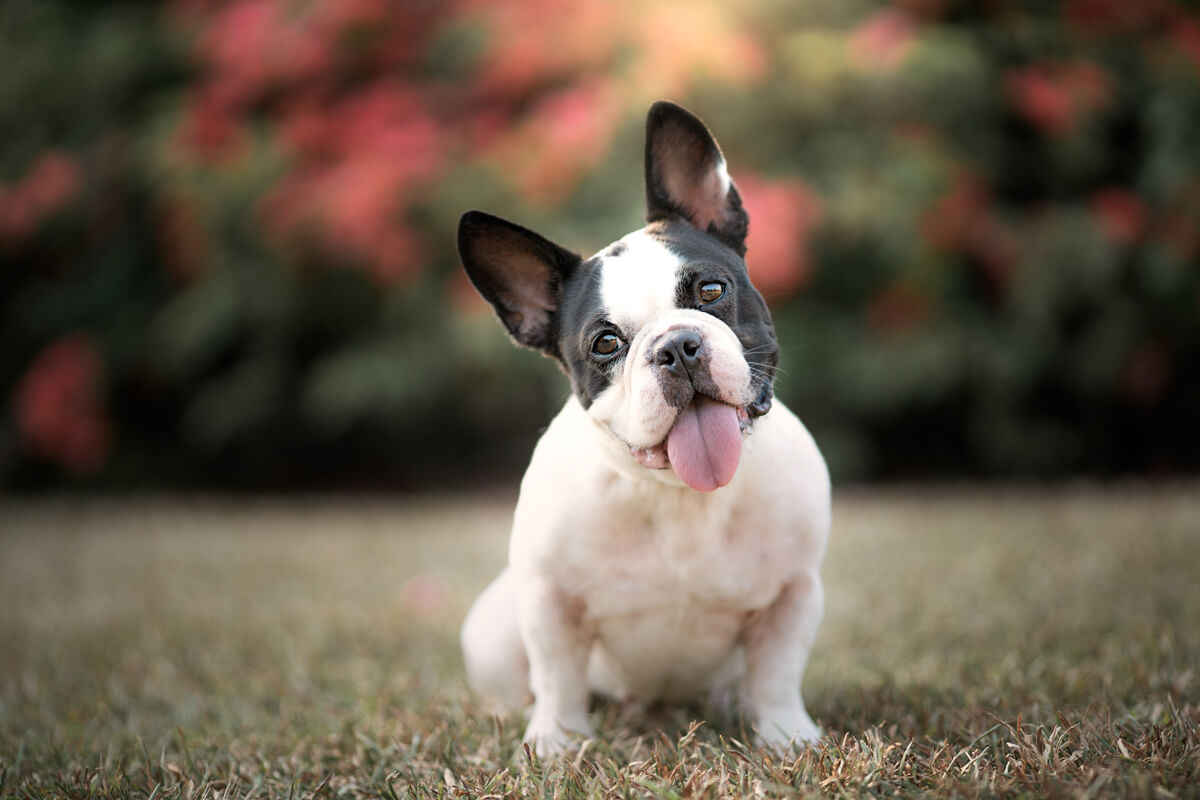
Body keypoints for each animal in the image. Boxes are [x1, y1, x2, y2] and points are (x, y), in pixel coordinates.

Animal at [453, 101, 830, 758]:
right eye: (606, 344)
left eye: (711, 290)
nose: (677, 346)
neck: (681, 495)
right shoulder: (548, 599)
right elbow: (556, 676)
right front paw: (556, 743)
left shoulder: (794, 595)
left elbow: (779, 675)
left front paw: (787, 737)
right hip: (492, 627)